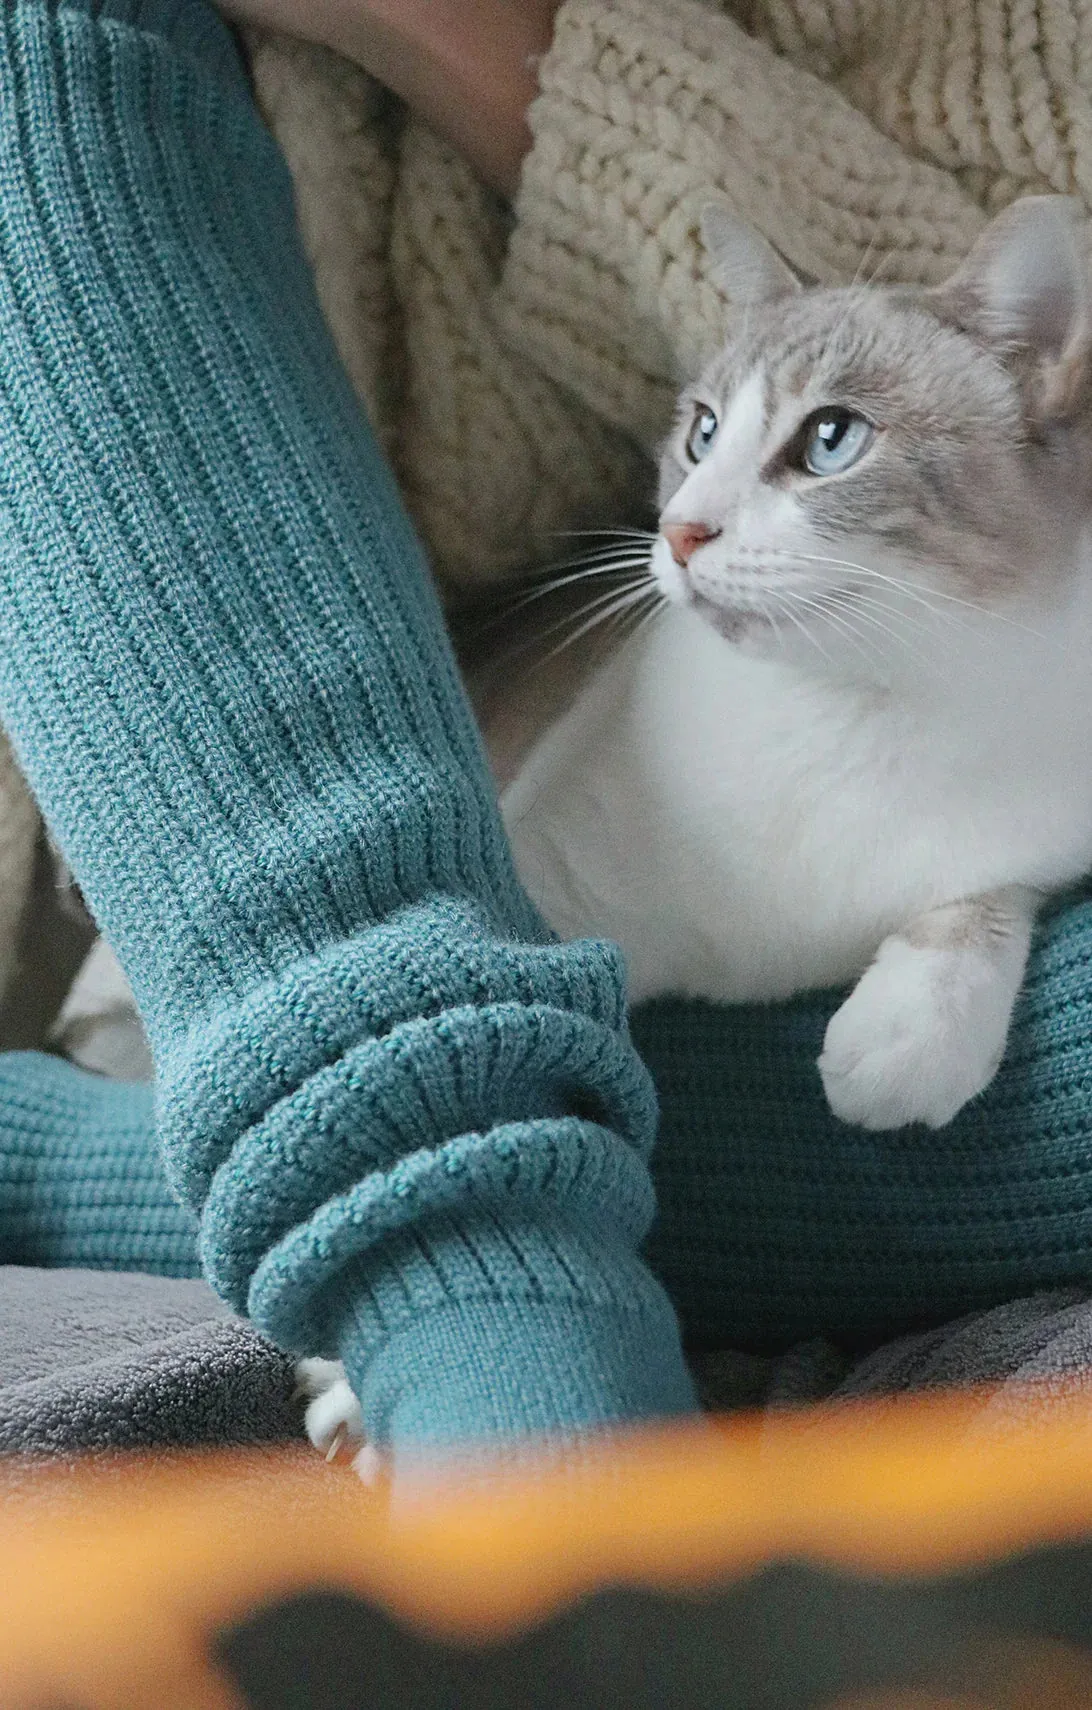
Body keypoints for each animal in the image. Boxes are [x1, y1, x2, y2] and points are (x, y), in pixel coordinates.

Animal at [499, 194, 1092, 1135]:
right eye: (703, 433)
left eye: (831, 440)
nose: (679, 530)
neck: (849, 707)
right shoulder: (546, 878)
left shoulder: (1038, 841)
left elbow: (984, 906)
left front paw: (912, 1031)